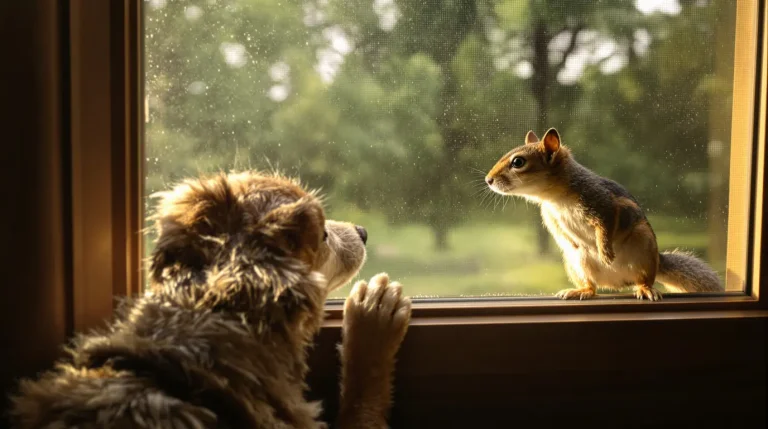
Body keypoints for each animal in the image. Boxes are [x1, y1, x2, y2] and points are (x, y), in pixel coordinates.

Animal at [484, 128, 722, 301]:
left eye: (518, 162)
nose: (488, 180)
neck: (554, 197)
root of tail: (617, 282)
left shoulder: (601, 203)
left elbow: (605, 225)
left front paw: (605, 251)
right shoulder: (551, 217)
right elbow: (562, 235)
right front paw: (573, 242)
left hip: (644, 249)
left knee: (644, 279)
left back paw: (644, 288)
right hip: (576, 265)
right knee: (592, 286)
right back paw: (580, 291)